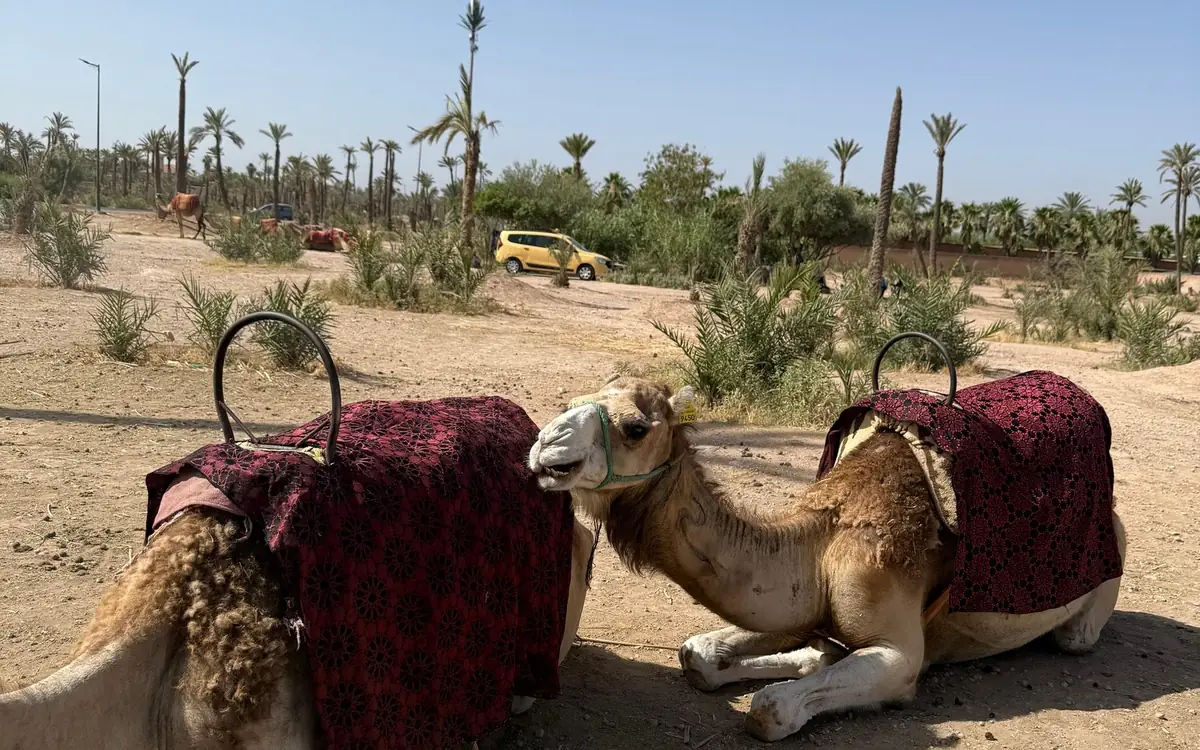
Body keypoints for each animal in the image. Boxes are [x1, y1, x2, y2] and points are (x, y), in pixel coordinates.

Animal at [527, 377, 1127, 742]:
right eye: (585, 394)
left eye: (634, 427)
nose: (545, 448)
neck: (820, 546)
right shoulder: (803, 604)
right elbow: (699, 653)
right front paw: (803, 657)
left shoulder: (899, 649)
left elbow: (772, 708)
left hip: (1098, 588)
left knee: (1076, 635)